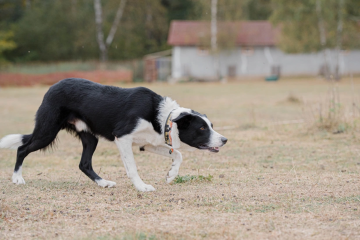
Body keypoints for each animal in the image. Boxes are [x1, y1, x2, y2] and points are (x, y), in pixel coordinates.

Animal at [0, 79, 228, 191]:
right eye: (202, 128)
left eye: (211, 125)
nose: (224, 140)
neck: (162, 117)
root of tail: (52, 86)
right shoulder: (123, 137)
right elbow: (132, 168)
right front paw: (142, 187)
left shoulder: (148, 143)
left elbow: (178, 154)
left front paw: (171, 174)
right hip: (47, 130)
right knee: (22, 148)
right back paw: (17, 178)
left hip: (89, 137)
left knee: (84, 164)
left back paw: (103, 183)